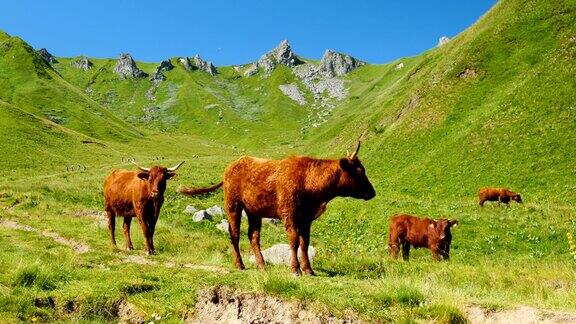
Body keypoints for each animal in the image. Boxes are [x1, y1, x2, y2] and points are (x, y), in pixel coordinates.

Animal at [181, 143, 378, 274]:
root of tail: (235, 163)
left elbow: (305, 243)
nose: (372, 192)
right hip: (233, 205)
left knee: (253, 236)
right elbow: (294, 241)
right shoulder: (288, 214)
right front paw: (295, 269)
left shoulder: (306, 218)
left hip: (254, 211)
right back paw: (240, 264)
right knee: (234, 234)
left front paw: (308, 270)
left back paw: (261, 265)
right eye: (359, 172)